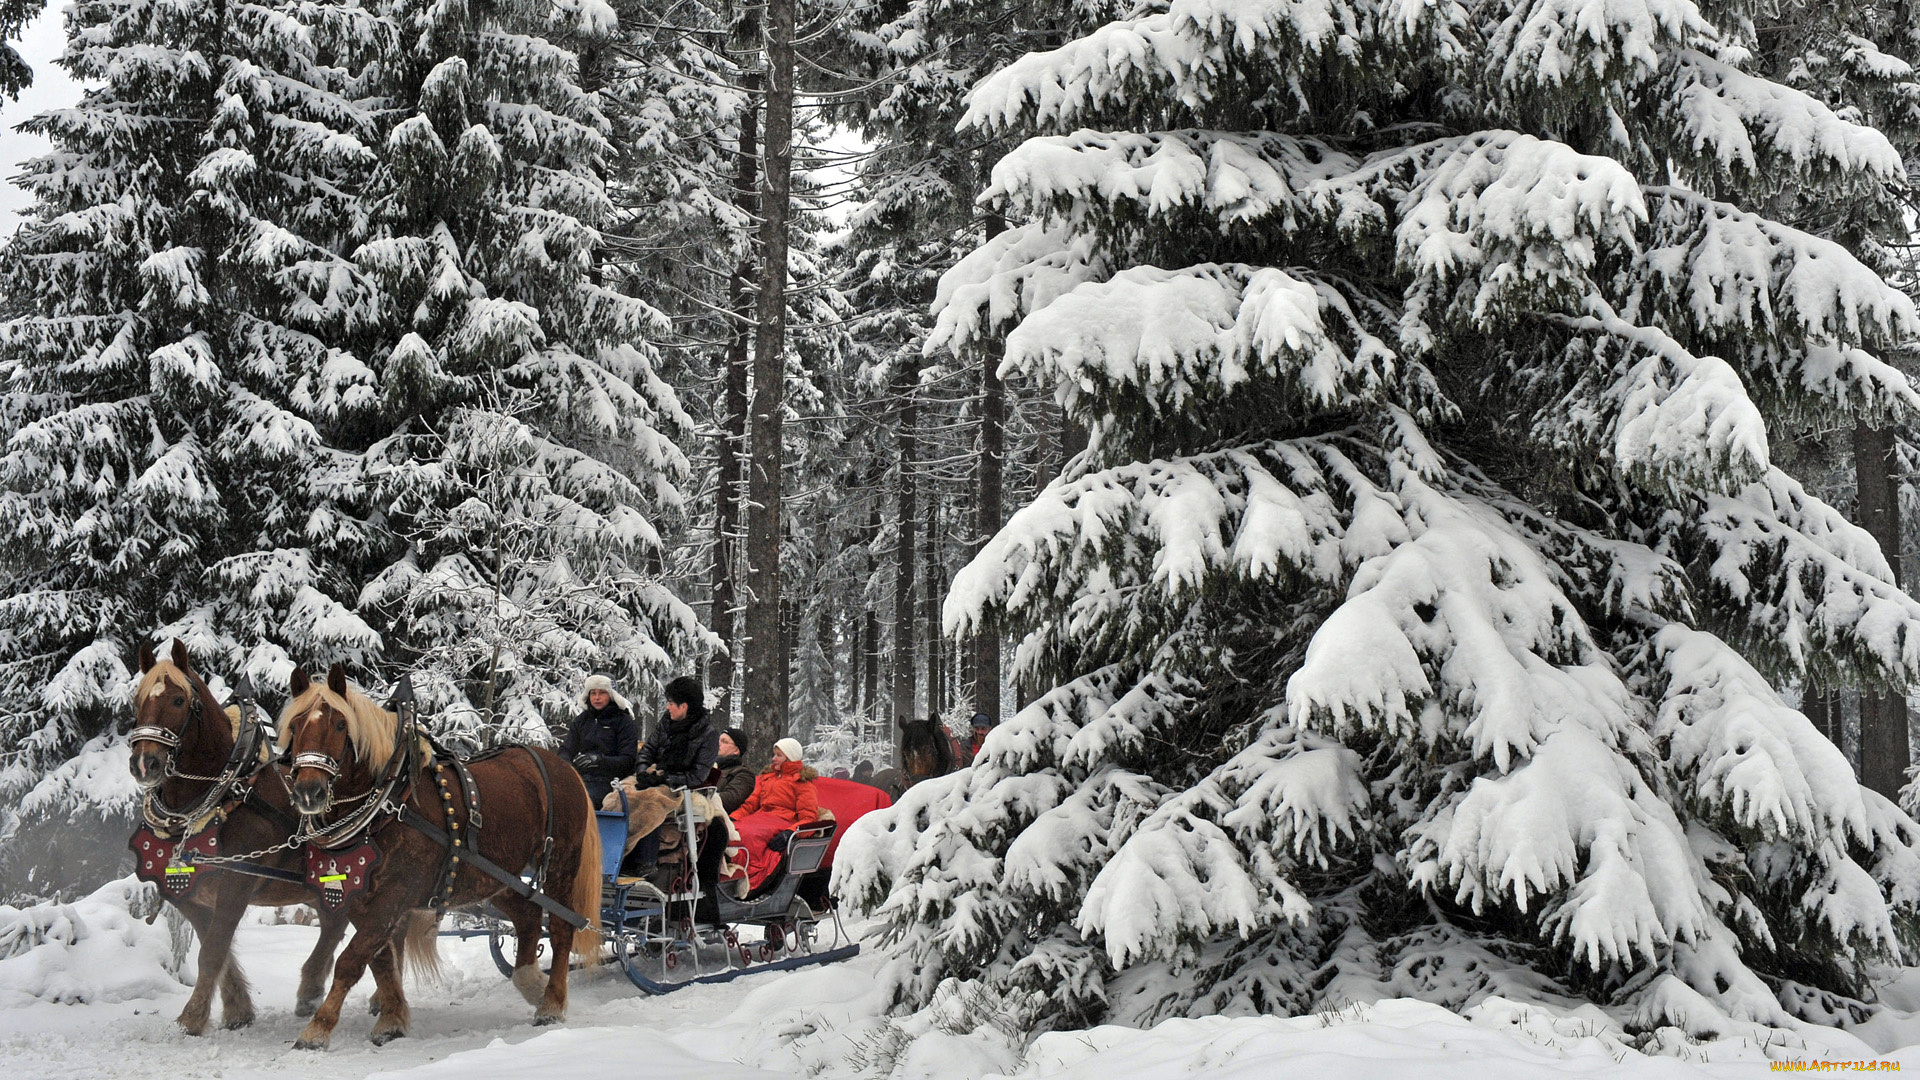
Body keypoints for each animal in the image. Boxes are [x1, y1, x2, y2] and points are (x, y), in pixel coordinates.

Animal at [127, 634, 353, 1030]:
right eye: (138, 701)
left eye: (178, 700)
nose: (144, 763)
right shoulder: (188, 892)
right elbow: (214, 948)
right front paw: (237, 1009)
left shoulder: (237, 883)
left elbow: (213, 950)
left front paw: (192, 1018)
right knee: (337, 923)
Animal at [278, 661, 599, 1045]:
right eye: (295, 726)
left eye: (340, 725)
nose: (308, 792)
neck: (391, 801)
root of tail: (566, 767)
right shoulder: (361, 898)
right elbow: (379, 960)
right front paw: (391, 1018)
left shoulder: (393, 894)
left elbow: (352, 960)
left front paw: (319, 1027)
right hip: (498, 876)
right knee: (528, 917)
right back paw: (532, 983)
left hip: (561, 864)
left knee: (563, 927)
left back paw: (551, 1003)